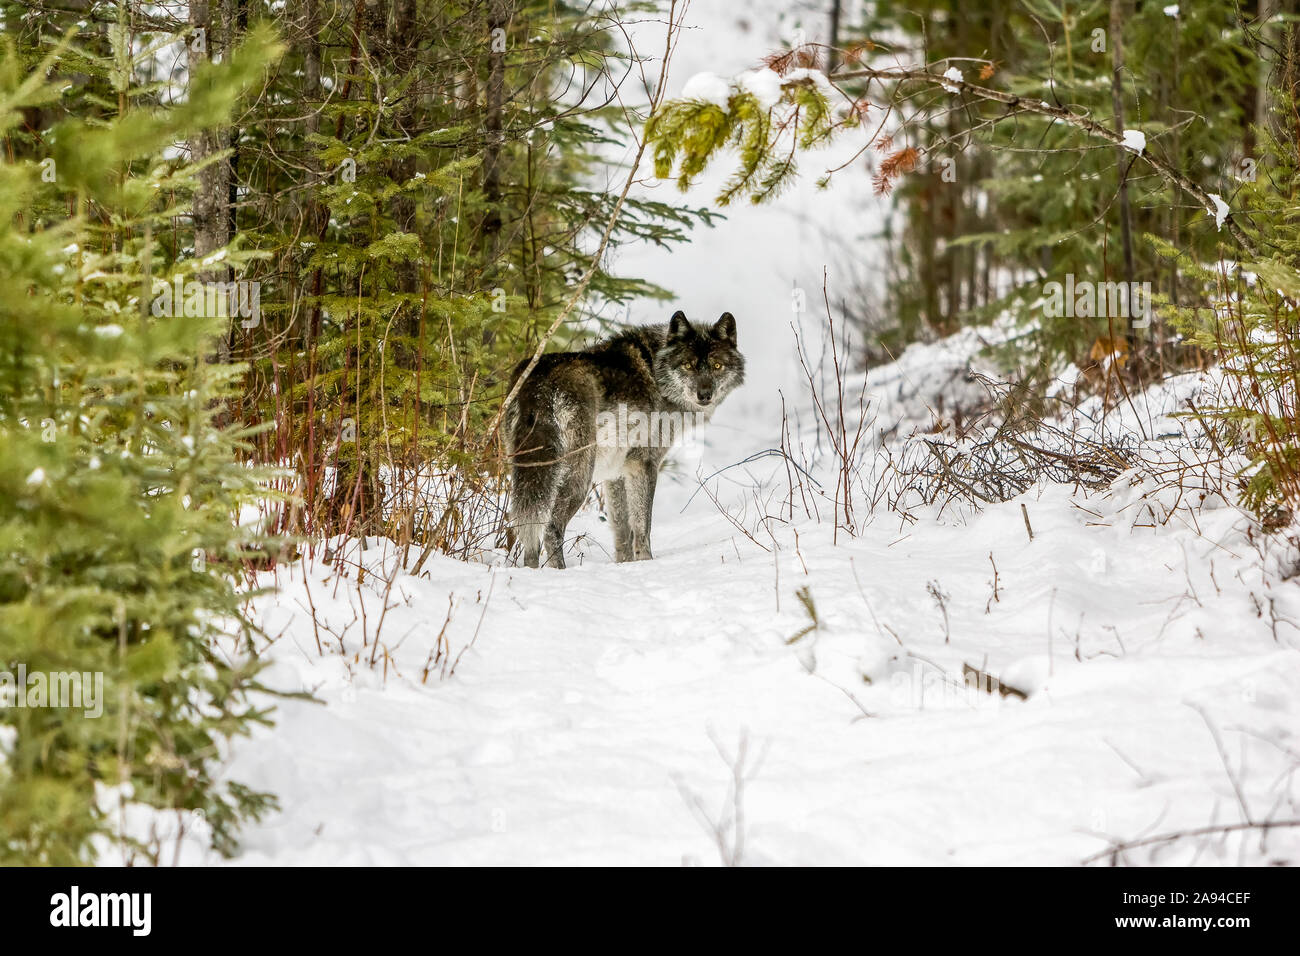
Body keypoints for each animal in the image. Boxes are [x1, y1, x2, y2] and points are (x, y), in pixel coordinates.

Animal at [509, 312, 754, 567]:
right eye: (688, 365)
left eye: (717, 366)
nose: (705, 395)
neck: (656, 372)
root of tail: (539, 378)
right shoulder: (644, 463)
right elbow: (642, 525)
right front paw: (646, 562)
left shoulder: (616, 472)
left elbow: (622, 530)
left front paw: (624, 565)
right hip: (580, 477)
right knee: (550, 529)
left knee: (528, 534)